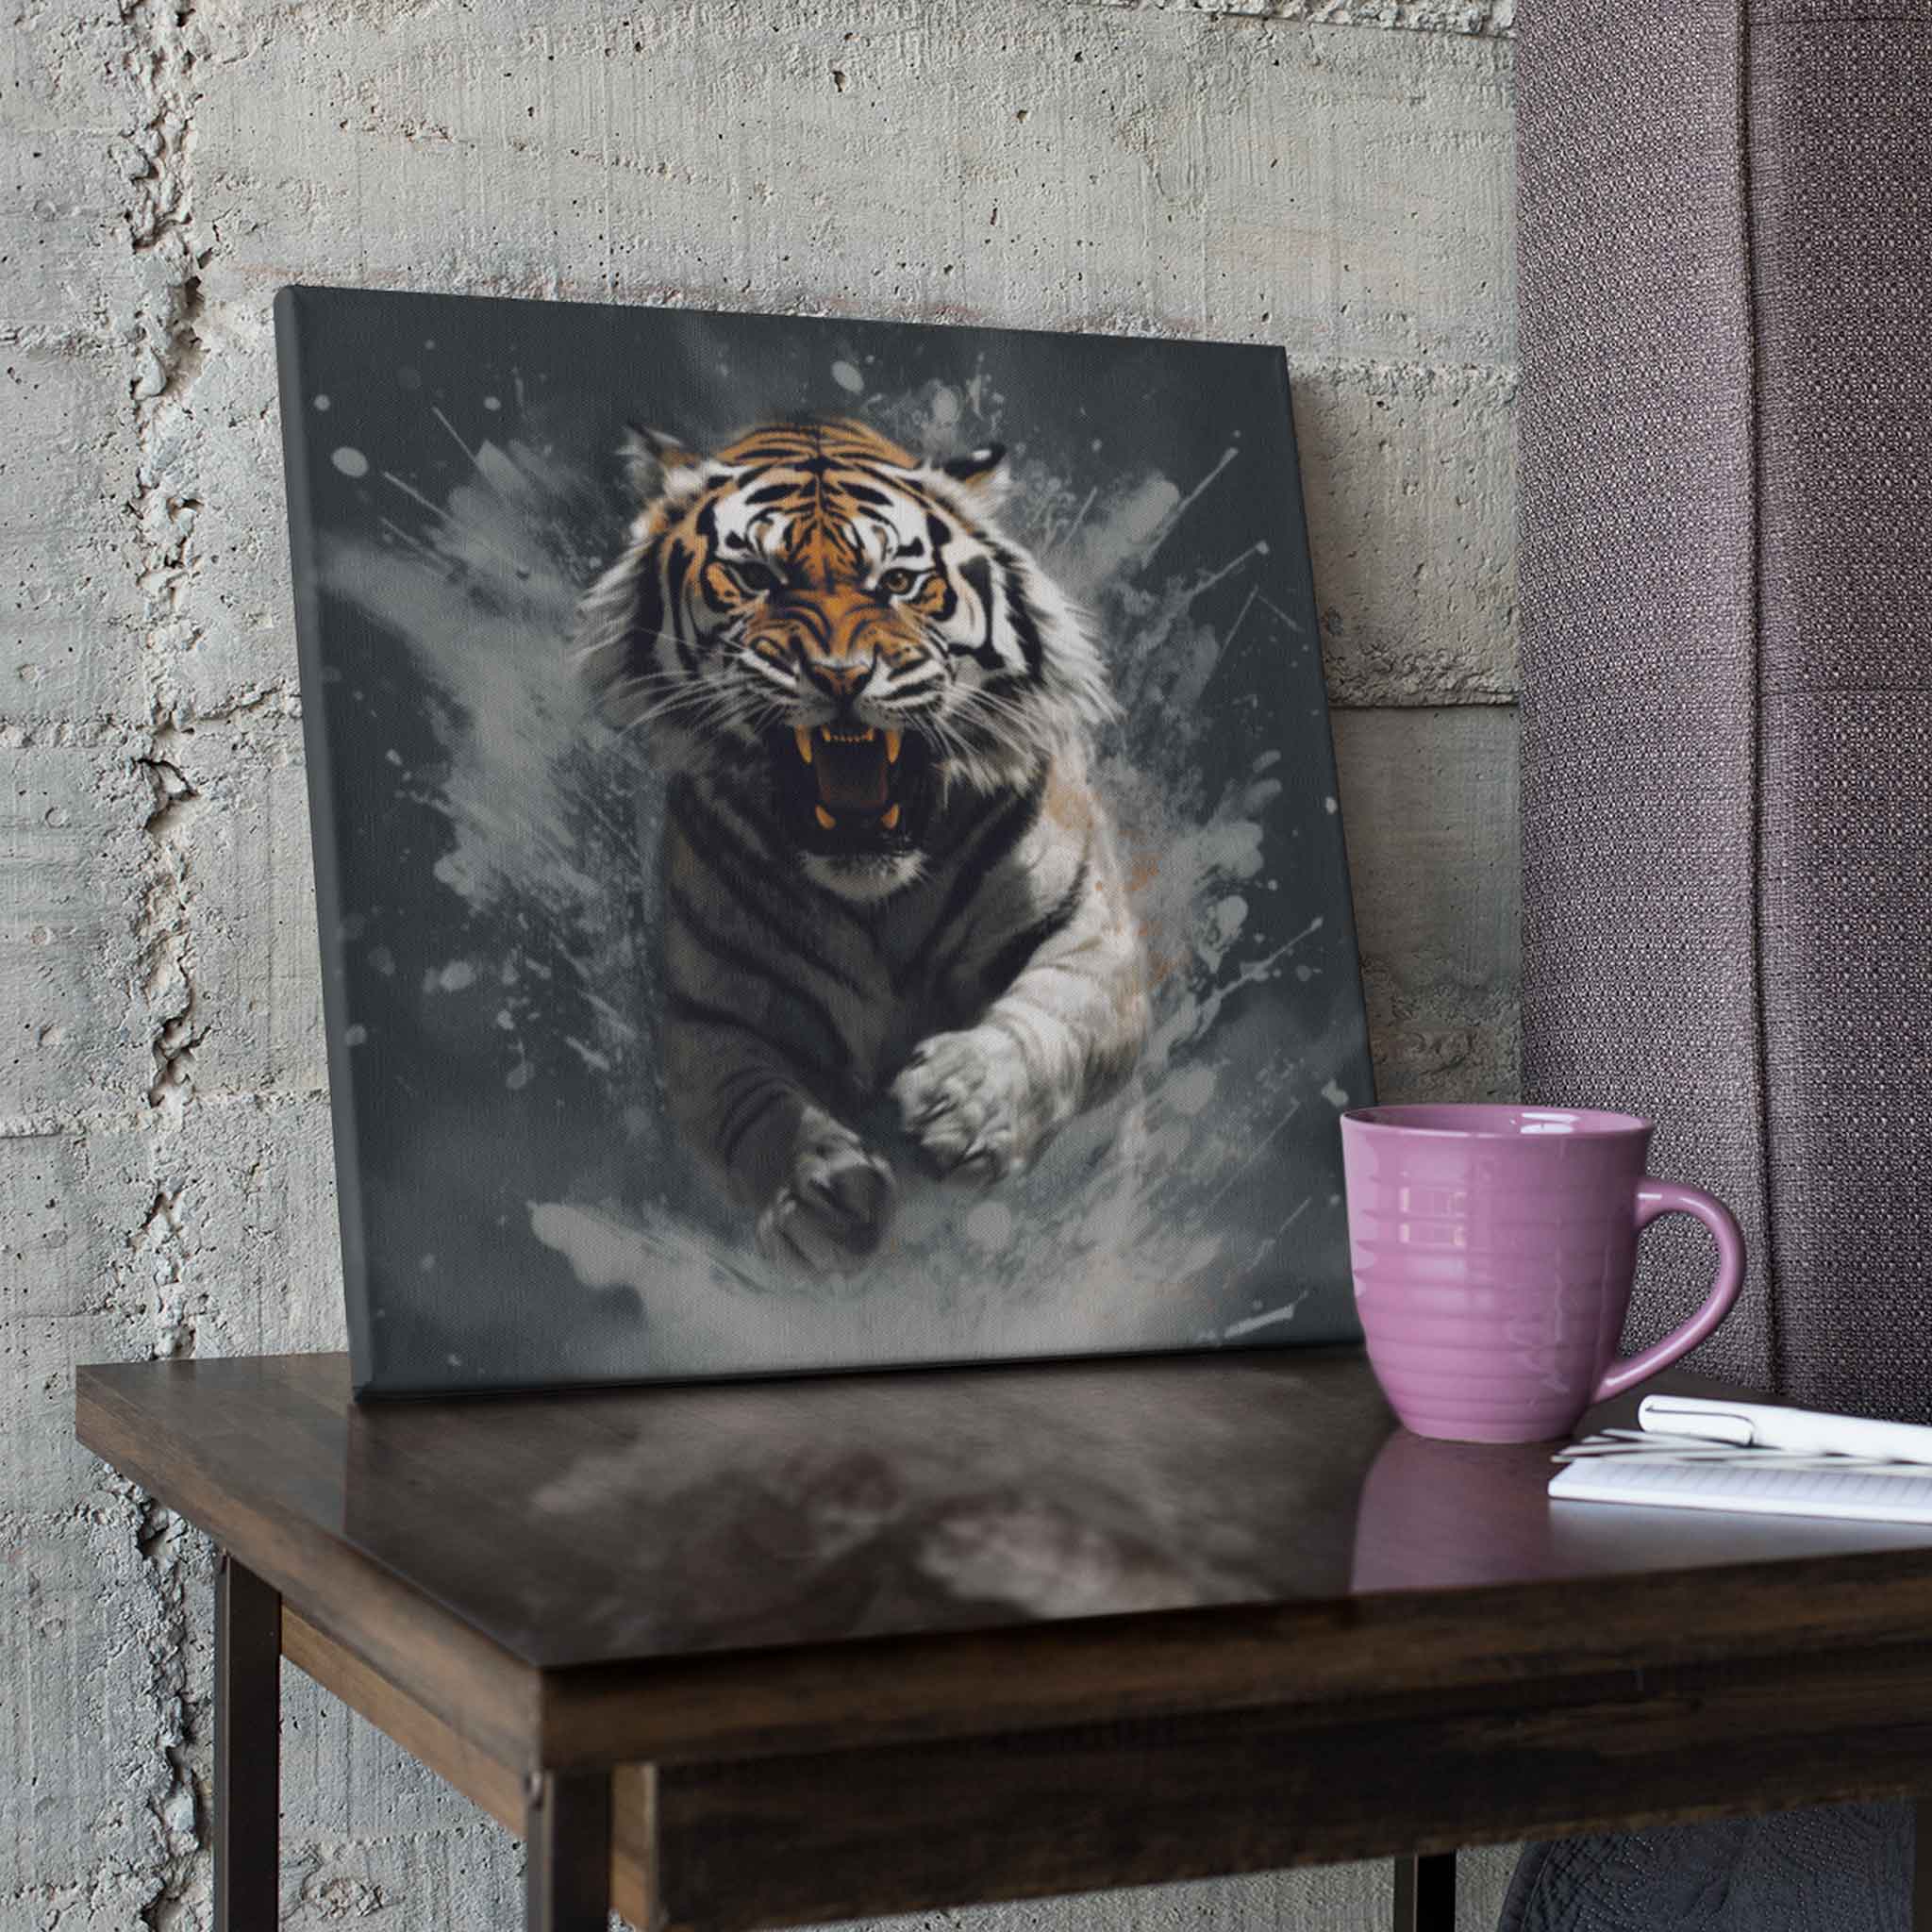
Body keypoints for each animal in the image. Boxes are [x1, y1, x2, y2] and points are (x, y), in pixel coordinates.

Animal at [578, 416, 1149, 1277]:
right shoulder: (709, 1021)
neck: (879, 897)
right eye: (756, 576)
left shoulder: (1094, 937)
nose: (842, 676)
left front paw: (964, 1103)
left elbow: (1054, 1015)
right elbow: (752, 1109)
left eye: (900, 582)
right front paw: (818, 1186)